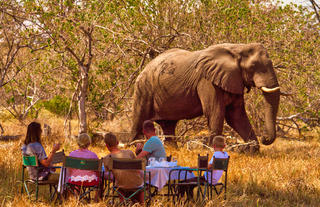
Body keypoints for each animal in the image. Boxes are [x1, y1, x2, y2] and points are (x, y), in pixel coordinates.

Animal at [131, 43, 280, 150]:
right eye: (253, 66)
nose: (265, 138)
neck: (238, 48)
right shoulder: (207, 81)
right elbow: (215, 112)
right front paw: (213, 150)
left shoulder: (234, 80)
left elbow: (236, 116)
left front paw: (252, 150)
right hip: (143, 89)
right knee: (139, 119)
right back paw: (136, 148)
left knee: (168, 125)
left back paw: (172, 149)